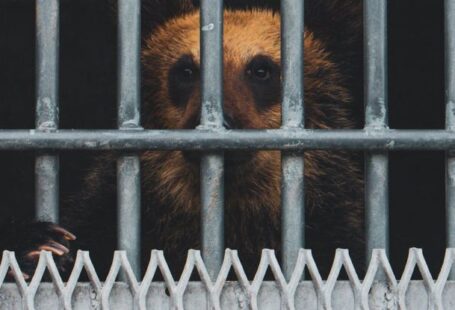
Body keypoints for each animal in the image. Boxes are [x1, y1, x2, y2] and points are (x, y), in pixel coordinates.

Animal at [0, 0, 364, 280]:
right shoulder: (106, 216)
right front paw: (36, 246)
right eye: (185, 71)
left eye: (261, 70)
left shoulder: (335, 228)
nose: (215, 122)